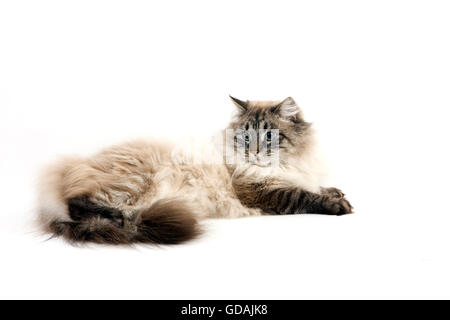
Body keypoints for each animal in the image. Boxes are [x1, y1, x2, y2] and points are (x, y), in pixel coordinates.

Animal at [37, 96, 354, 244]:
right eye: (245, 137)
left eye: (268, 137)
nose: (252, 152)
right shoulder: (260, 193)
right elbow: (303, 195)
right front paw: (339, 205)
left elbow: (314, 186)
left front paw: (335, 192)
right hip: (134, 181)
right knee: (78, 205)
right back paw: (124, 217)